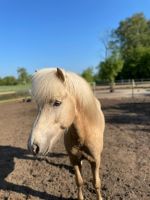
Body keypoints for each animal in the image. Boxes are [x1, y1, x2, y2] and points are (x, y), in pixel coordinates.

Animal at [27, 68, 105, 199]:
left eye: (57, 103)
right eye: (38, 105)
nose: (33, 147)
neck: (83, 136)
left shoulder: (95, 161)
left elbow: (96, 183)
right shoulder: (73, 159)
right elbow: (79, 181)